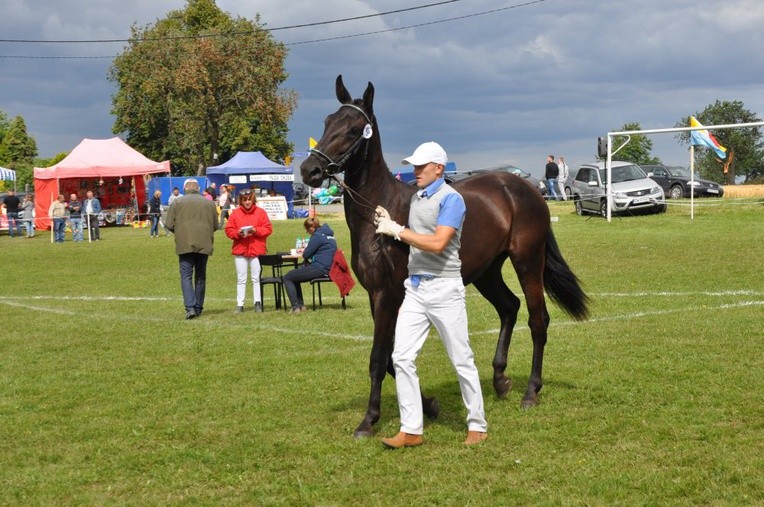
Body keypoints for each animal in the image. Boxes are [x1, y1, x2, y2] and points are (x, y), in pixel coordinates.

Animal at [302, 74, 588, 436]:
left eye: (354, 129)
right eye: (327, 122)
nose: (309, 170)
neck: (379, 212)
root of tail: (524, 189)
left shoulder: (387, 295)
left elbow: (379, 357)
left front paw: (368, 421)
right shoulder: (376, 295)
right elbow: (393, 357)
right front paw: (430, 405)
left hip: (527, 262)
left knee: (538, 320)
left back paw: (530, 392)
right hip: (486, 272)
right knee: (509, 307)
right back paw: (500, 380)